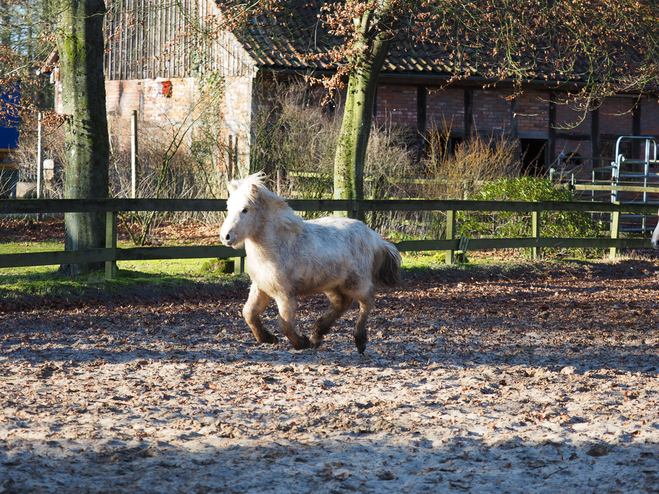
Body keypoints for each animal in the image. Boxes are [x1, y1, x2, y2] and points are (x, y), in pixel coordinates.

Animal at [220, 172, 402, 354]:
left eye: (245, 209)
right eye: (228, 207)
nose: (225, 237)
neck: (277, 246)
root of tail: (373, 237)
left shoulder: (285, 293)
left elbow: (285, 324)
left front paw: (301, 343)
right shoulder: (261, 286)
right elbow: (249, 313)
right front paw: (268, 338)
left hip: (355, 284)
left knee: (367, 301)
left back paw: (359, 340)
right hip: (332, 285)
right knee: (341, 303)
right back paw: (317, 335)